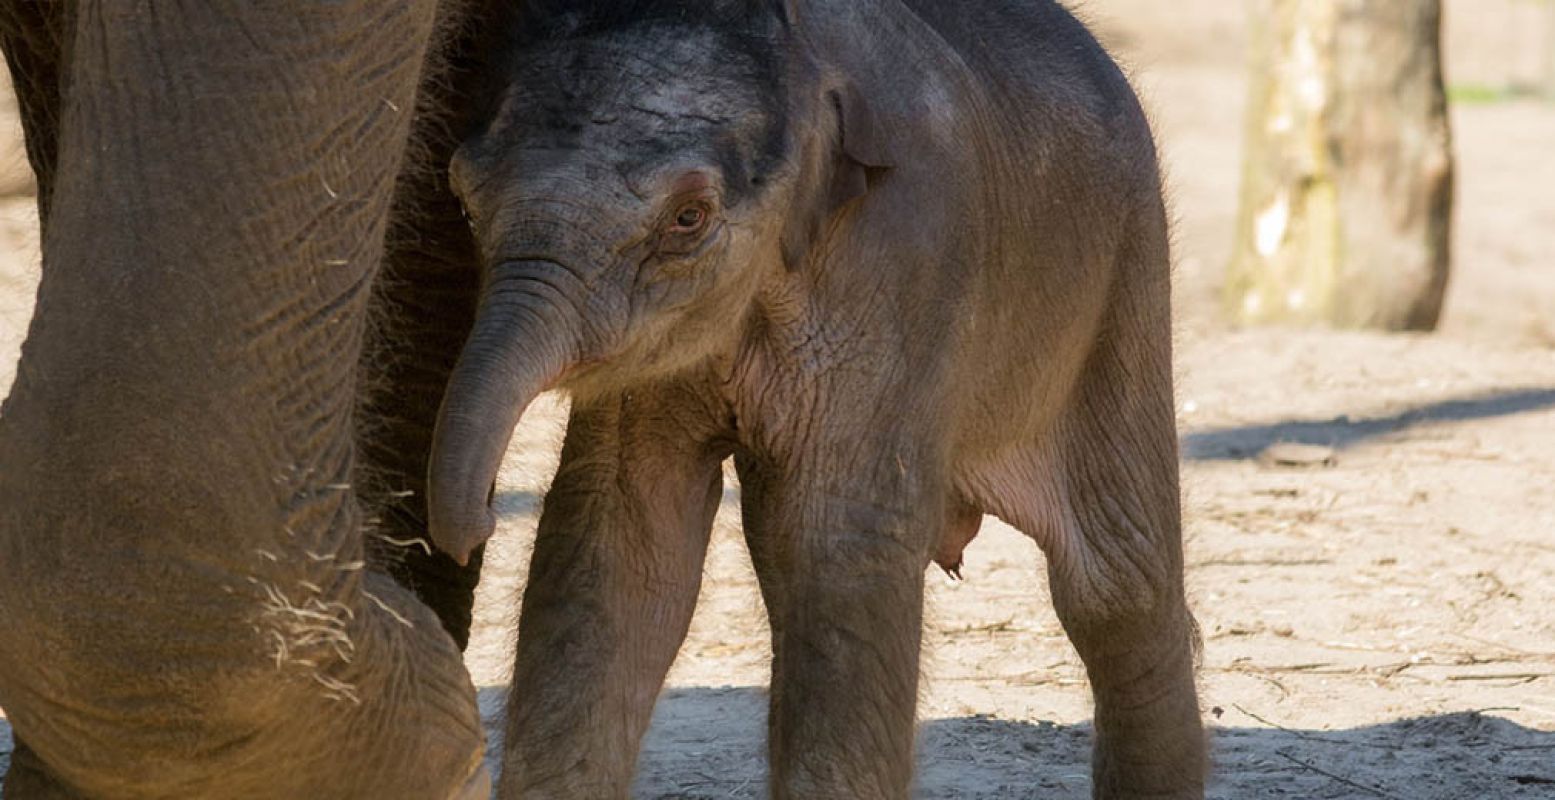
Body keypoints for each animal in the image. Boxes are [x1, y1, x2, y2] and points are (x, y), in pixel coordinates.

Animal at [432, 1, 1206, 796]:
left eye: (688, 218)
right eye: (462, 194)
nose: (479, 522)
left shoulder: (904, 258)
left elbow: (837, 537)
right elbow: (619, 532)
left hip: (1122, 286)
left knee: (1116, 586)